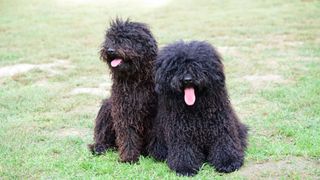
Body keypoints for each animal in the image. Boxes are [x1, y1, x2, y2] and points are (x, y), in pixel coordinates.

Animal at [88, 18, 158, 163]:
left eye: (127, 38)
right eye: (110, 38)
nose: (110, 50)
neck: (134, 80)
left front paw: (153, 153)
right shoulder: (124, 111)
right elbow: (128, 135)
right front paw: (129, 158)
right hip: (107, 108)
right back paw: (99, 147)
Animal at [148, 40, 248, 176]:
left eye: (198, 65)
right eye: (176, 67)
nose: (187, 79)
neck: (195, 110)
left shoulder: (221, 129)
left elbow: (224, 144)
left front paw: (228, 162)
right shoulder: (181, 134)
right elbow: (184, 151)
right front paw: (185, 168)